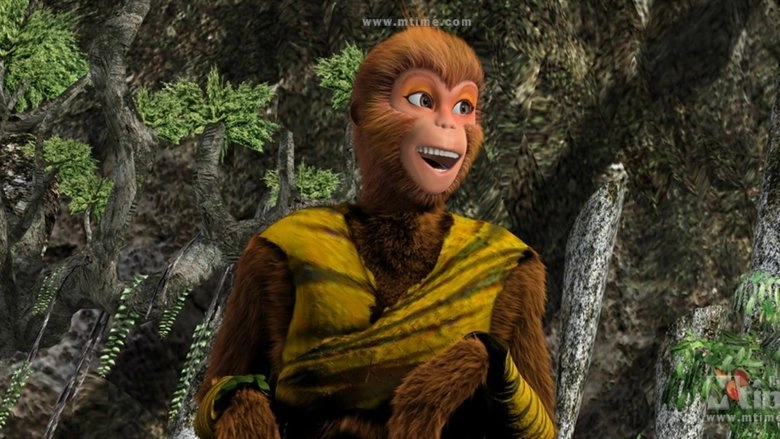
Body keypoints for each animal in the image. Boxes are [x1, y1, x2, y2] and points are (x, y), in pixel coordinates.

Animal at [194, 25, 556, 439]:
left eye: (463, 108)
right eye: (422, 100)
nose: (450, 125)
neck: (402, 215)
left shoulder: (523, 278)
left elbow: (540, 418)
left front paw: (439, 380)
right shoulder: (262, 257)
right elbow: (225, 385)